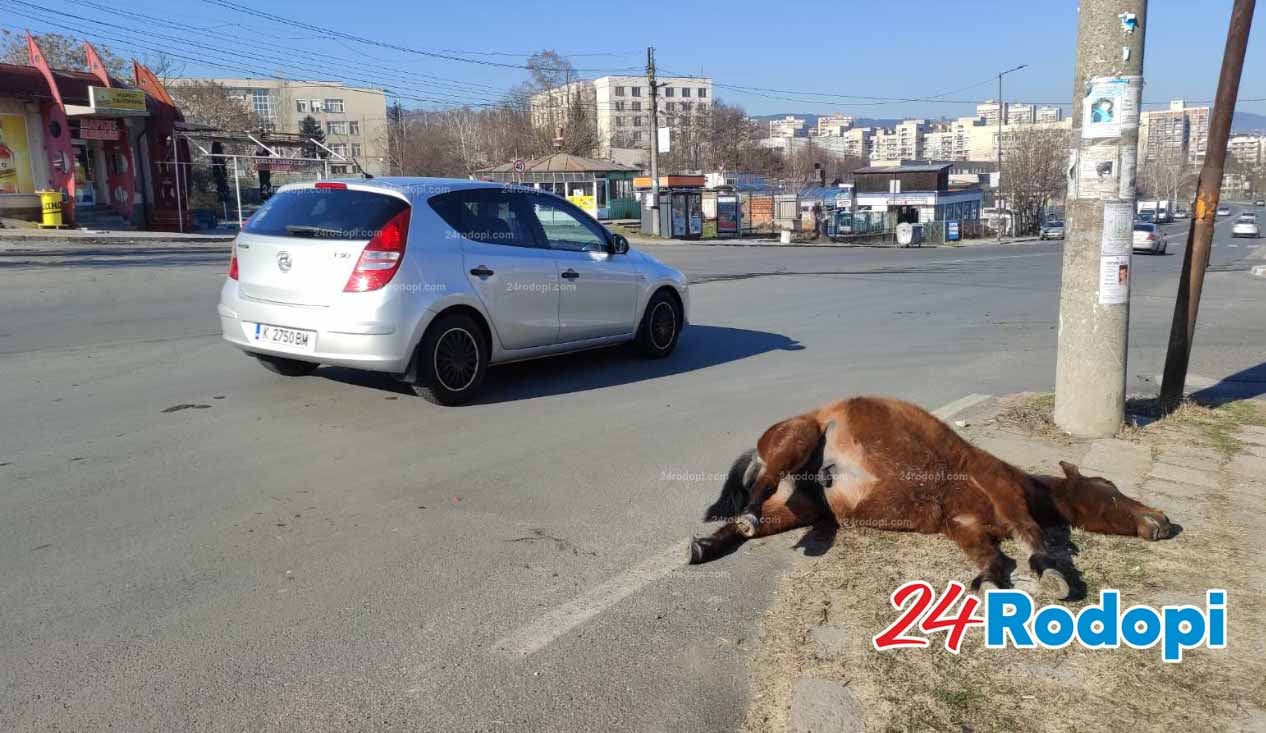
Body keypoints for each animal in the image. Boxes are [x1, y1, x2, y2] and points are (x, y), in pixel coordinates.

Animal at [688, 394, 1179, 597]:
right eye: (1110, 488)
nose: (1162, 520)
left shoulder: (963, 527)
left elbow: (994, 558)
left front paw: (988, 581)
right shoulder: (1003, 491)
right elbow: (1032, 536)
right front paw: (1052, 571)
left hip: (802, 507)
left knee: (748, 522)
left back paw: (707, 546)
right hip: (797, 439)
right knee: (759, 490)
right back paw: (746, 520)